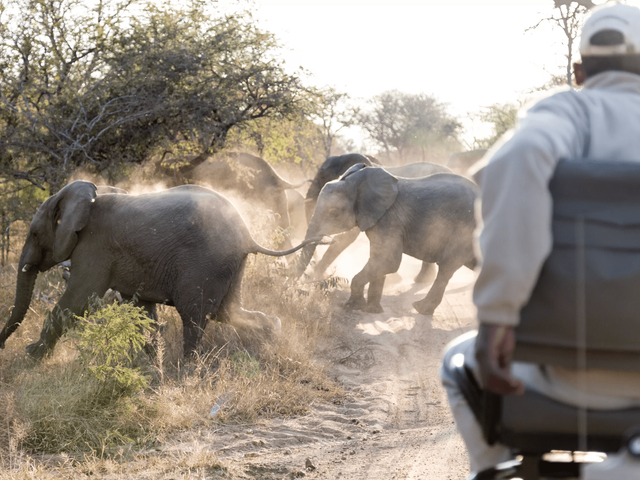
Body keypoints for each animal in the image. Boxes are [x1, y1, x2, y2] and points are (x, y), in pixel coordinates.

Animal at [0, 181, 320, 360]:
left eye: (34, 234)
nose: (2, 347)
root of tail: (247, 234)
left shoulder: (95, 248)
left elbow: (75, 302)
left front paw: (32, 356)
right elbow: (143, 311)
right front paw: (152, 364)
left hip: (207, 263)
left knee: (194, 316)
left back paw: (187, 370)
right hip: (231, 264)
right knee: (227, 312)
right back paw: (272, 336)